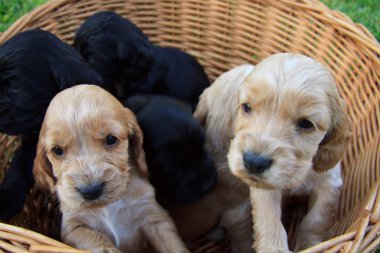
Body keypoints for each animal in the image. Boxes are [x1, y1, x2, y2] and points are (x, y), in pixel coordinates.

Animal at [33, 84, 190, 253]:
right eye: (57, 150)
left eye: (111, 139)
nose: (91, 191)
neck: (108, 205)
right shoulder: (74, 227)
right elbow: (96, 238)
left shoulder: (152, 214)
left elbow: (172, 244)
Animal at [196, 52, 350, 251]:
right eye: (246, 107)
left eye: (306, 123)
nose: (253, 162)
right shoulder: (264, 188)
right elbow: (269, 219)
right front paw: (273, 248)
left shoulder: (330, 183)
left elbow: (315, 221)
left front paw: (308, 246)